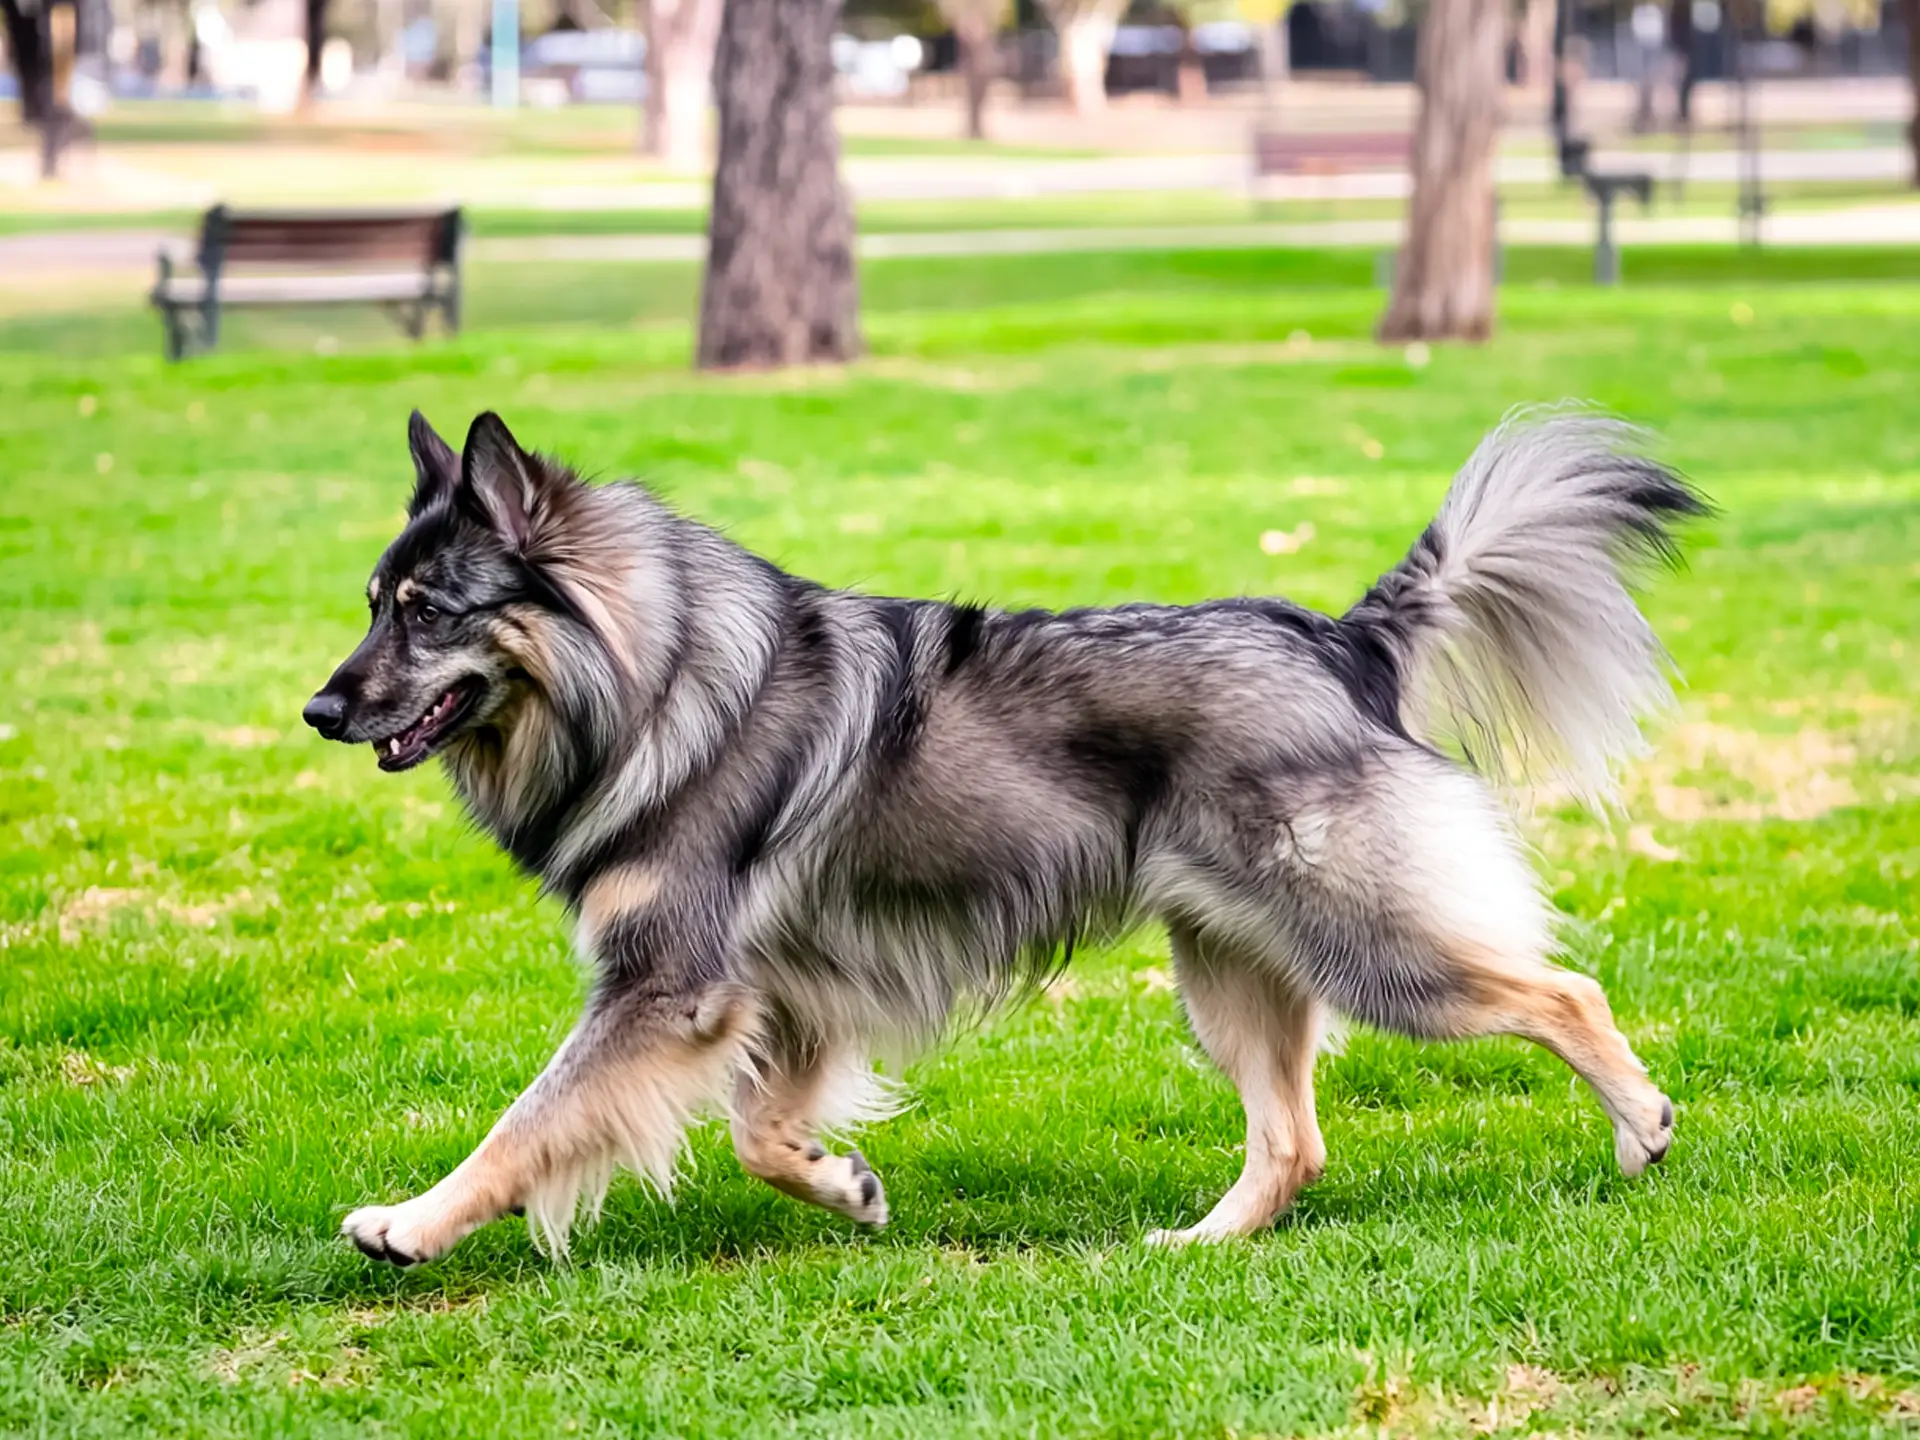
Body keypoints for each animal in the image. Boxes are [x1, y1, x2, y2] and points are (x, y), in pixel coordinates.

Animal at [307, 407, 1704, 1259]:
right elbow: (760, 1136)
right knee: (1295, 1141)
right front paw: (846, 1185)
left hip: (1368, 944)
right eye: (373, 602)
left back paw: (1643, 1129)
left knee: (1563, 992)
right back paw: (1201, 1246)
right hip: (1227, 968)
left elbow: (528, 1125)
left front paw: (412, 1224)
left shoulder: (669, 991)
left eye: (425, 611)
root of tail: (1341, 638)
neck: (655, 685)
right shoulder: (791, 994)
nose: (319, 709)